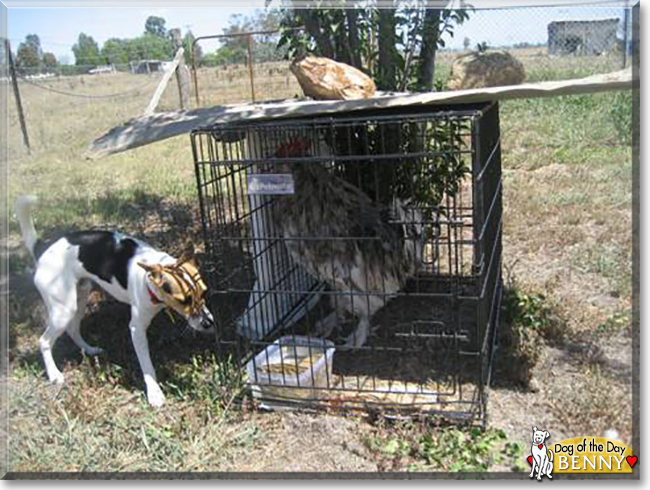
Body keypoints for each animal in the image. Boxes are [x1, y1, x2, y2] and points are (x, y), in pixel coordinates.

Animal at [15, 195, 214, 406]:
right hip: (63, 308)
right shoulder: (136, 329)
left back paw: (89, 349)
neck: (150, 280)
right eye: (184, 301)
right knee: (44, 341)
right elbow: (147, 365)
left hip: (80, 297)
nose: (209, 323)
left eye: (204, 292)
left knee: (73, 329)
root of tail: (42, 250)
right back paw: (54, 374)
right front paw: (154, 393)